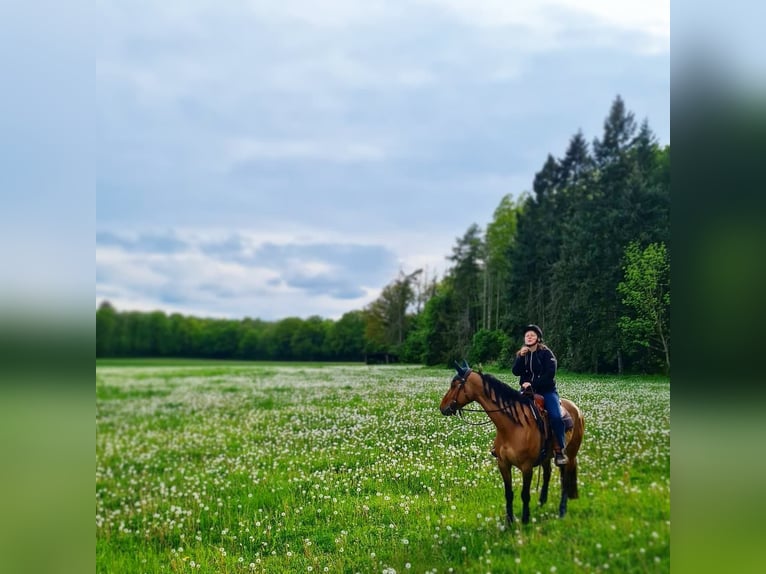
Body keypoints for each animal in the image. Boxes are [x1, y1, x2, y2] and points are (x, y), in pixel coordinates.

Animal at [439, 361, 585, 524]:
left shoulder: (527, 467)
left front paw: (525, 519)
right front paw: (509, 520)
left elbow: (525, 494)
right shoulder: (503, 463)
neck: (513, 426)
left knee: (565, 480)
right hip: (547, 457)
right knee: (548, 474)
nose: (442, 407)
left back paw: (562, 510)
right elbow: (508, 493)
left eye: (455, 384)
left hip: (570, 454)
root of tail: (576, 409)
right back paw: (541, 502)